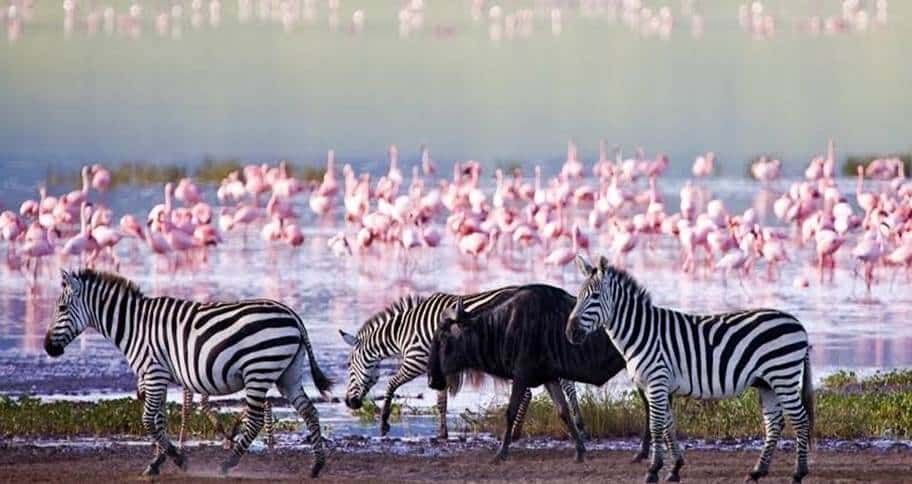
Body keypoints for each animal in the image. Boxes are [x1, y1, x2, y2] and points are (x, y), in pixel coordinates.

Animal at [44, 269, 332, 478]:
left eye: (61, 309)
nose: (47, 347)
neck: (134, 326)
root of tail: (292, 315)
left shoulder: (154, 372)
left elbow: (148, 420)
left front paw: (178, 459)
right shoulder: (156, 377)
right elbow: (159, 420)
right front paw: (157, 462)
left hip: (258, 371)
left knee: (255, 420)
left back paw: (227, 464)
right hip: (288, 374)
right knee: (309, 411)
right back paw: (316, 466)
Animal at [340, 286, 588, 440]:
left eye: (350, 367)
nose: (349, 403)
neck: (404, 332)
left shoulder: (416, 360)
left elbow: (391, 384)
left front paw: (383, 424)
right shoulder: (439, 368)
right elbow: (441, 402)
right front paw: (442, 433)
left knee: (530, 392)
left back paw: (518, 432)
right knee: (564, 384)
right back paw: (578, 423)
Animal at [565, 255, 814, 483]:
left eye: (595, 297)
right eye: (578, 296)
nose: (570, 332)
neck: (641, 332)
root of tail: (798, 324)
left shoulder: (657, 381)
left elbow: (656, 426)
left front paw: (653, 470)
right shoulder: (658, 386)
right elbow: (668, 426)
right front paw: (674, 468)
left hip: (783, 376)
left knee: (800, 420)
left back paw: (798, 473)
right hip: (767, 383)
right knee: (774, 424)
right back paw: (757, 472)